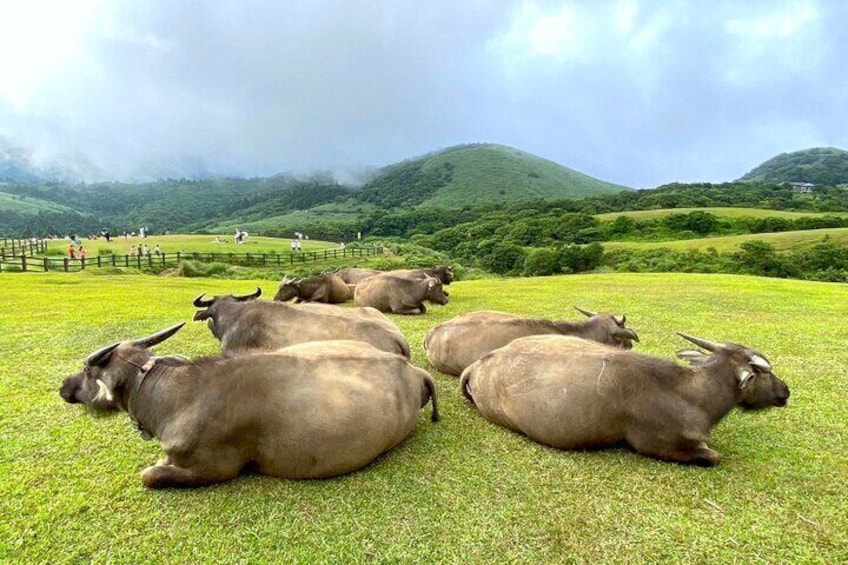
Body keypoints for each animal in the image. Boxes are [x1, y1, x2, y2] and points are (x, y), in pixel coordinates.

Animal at [59, 324, 440, 486]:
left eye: (87, 370)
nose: (63, 386)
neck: (180, 397)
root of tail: (411, 368)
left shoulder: (214, 468)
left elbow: (150, 475)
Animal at [460, 332, 792, 464]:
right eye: (764, 374)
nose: (786, 390)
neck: (691, 394)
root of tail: (479, 365)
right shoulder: (663, 445)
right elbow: (715, 457)